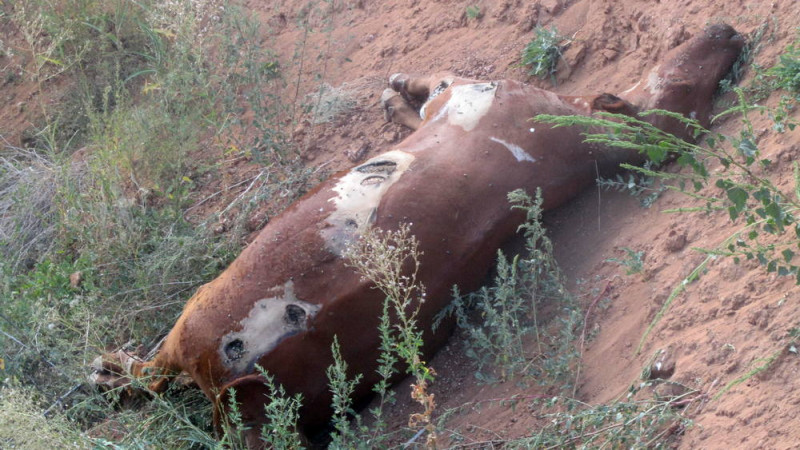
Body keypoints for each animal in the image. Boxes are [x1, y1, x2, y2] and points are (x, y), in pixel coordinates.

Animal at [92, 23, 744, 446]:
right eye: (683, 84)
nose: (729, 29)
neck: (580, 146)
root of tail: (231, 385)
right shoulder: (474, 91)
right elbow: (426, 86)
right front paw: (393, 91)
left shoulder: (468, 90)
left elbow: (426, 86)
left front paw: (393, 91)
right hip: (195, 324)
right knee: (152, 375)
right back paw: (106, 376)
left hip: (194, 316)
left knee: (153, 370)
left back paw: (105, 371)